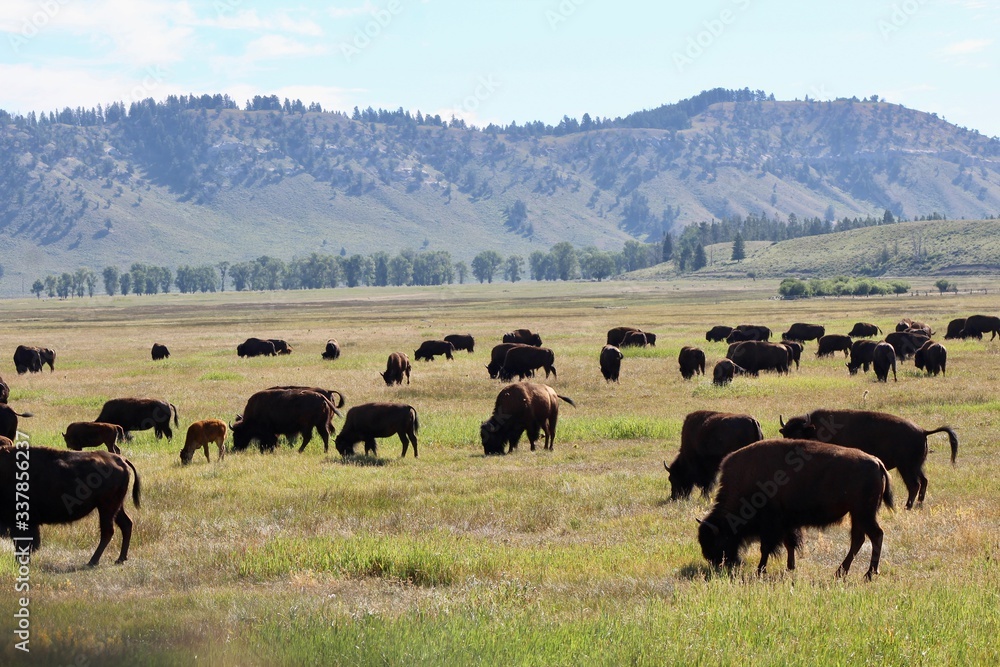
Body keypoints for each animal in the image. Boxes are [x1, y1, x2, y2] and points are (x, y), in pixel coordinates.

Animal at [0, 446, 141, 568]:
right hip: (116, 507)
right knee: (126, 524)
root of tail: (121, 460)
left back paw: (92, 562)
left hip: (106, 507)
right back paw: (120, 559)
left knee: (108, 531)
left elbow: (24, 543)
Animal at [696, 438, 892, 580]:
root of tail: (877, 462)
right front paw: (790, 567)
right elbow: (789, 543)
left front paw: (760, 570)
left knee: (876, 535)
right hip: (857, 514)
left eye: (717, 540)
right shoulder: (787, 522)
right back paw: (840, 572)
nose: (716, 563)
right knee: (858, 539)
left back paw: (869, 573)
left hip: (864, 514)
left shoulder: (771, 524)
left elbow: (766, 547)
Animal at [776, 408, 956, 512]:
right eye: (785, 434)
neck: (814, 430)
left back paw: (908, 507)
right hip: (916, 466)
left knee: (914, 484)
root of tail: (923, 431)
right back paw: (918, 505)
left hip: (906, 467)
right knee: (923, 481)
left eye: (798, 434)